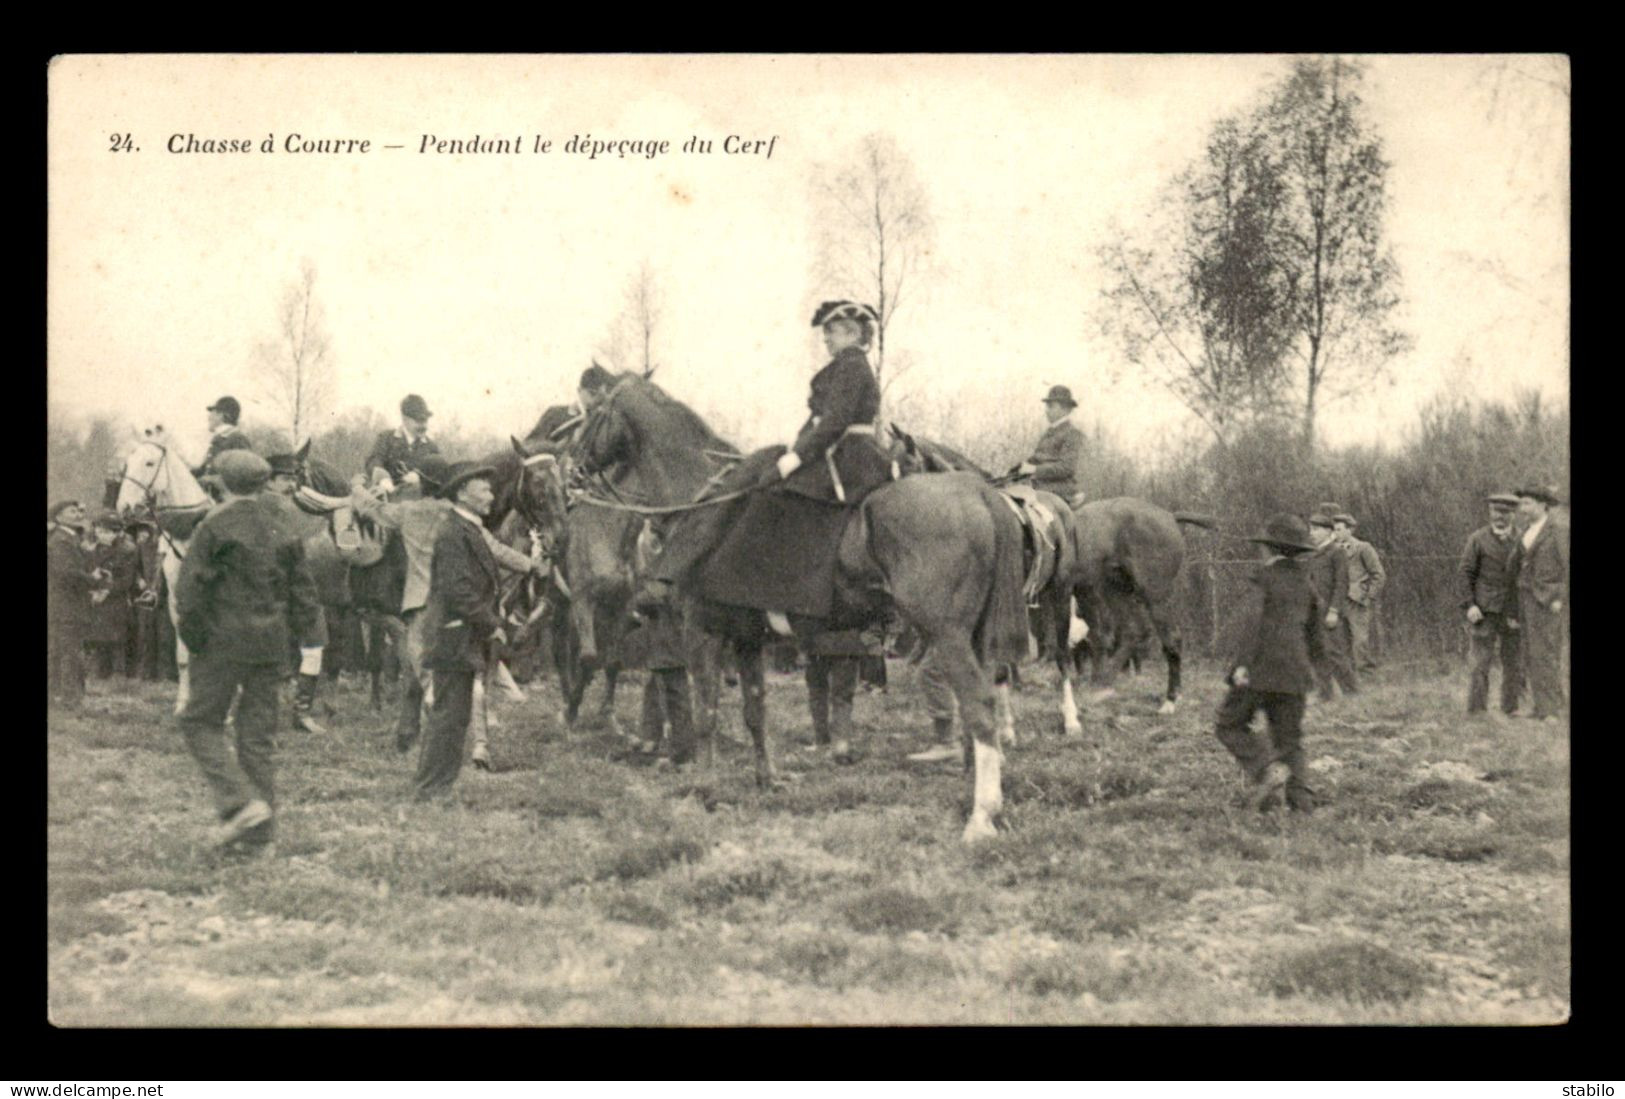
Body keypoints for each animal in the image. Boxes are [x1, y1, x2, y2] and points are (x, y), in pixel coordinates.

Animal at [575, 375, 1027, 838]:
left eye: (591, 413)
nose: (573, 469)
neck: (702, 504)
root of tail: (981, 492)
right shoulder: (747, 639)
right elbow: (755, 710)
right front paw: (767, 779)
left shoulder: (701, 631)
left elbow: (706, 713)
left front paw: (706, 788)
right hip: (974, 637)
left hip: (946, 635)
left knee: (980, 705)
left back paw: (981, 815)